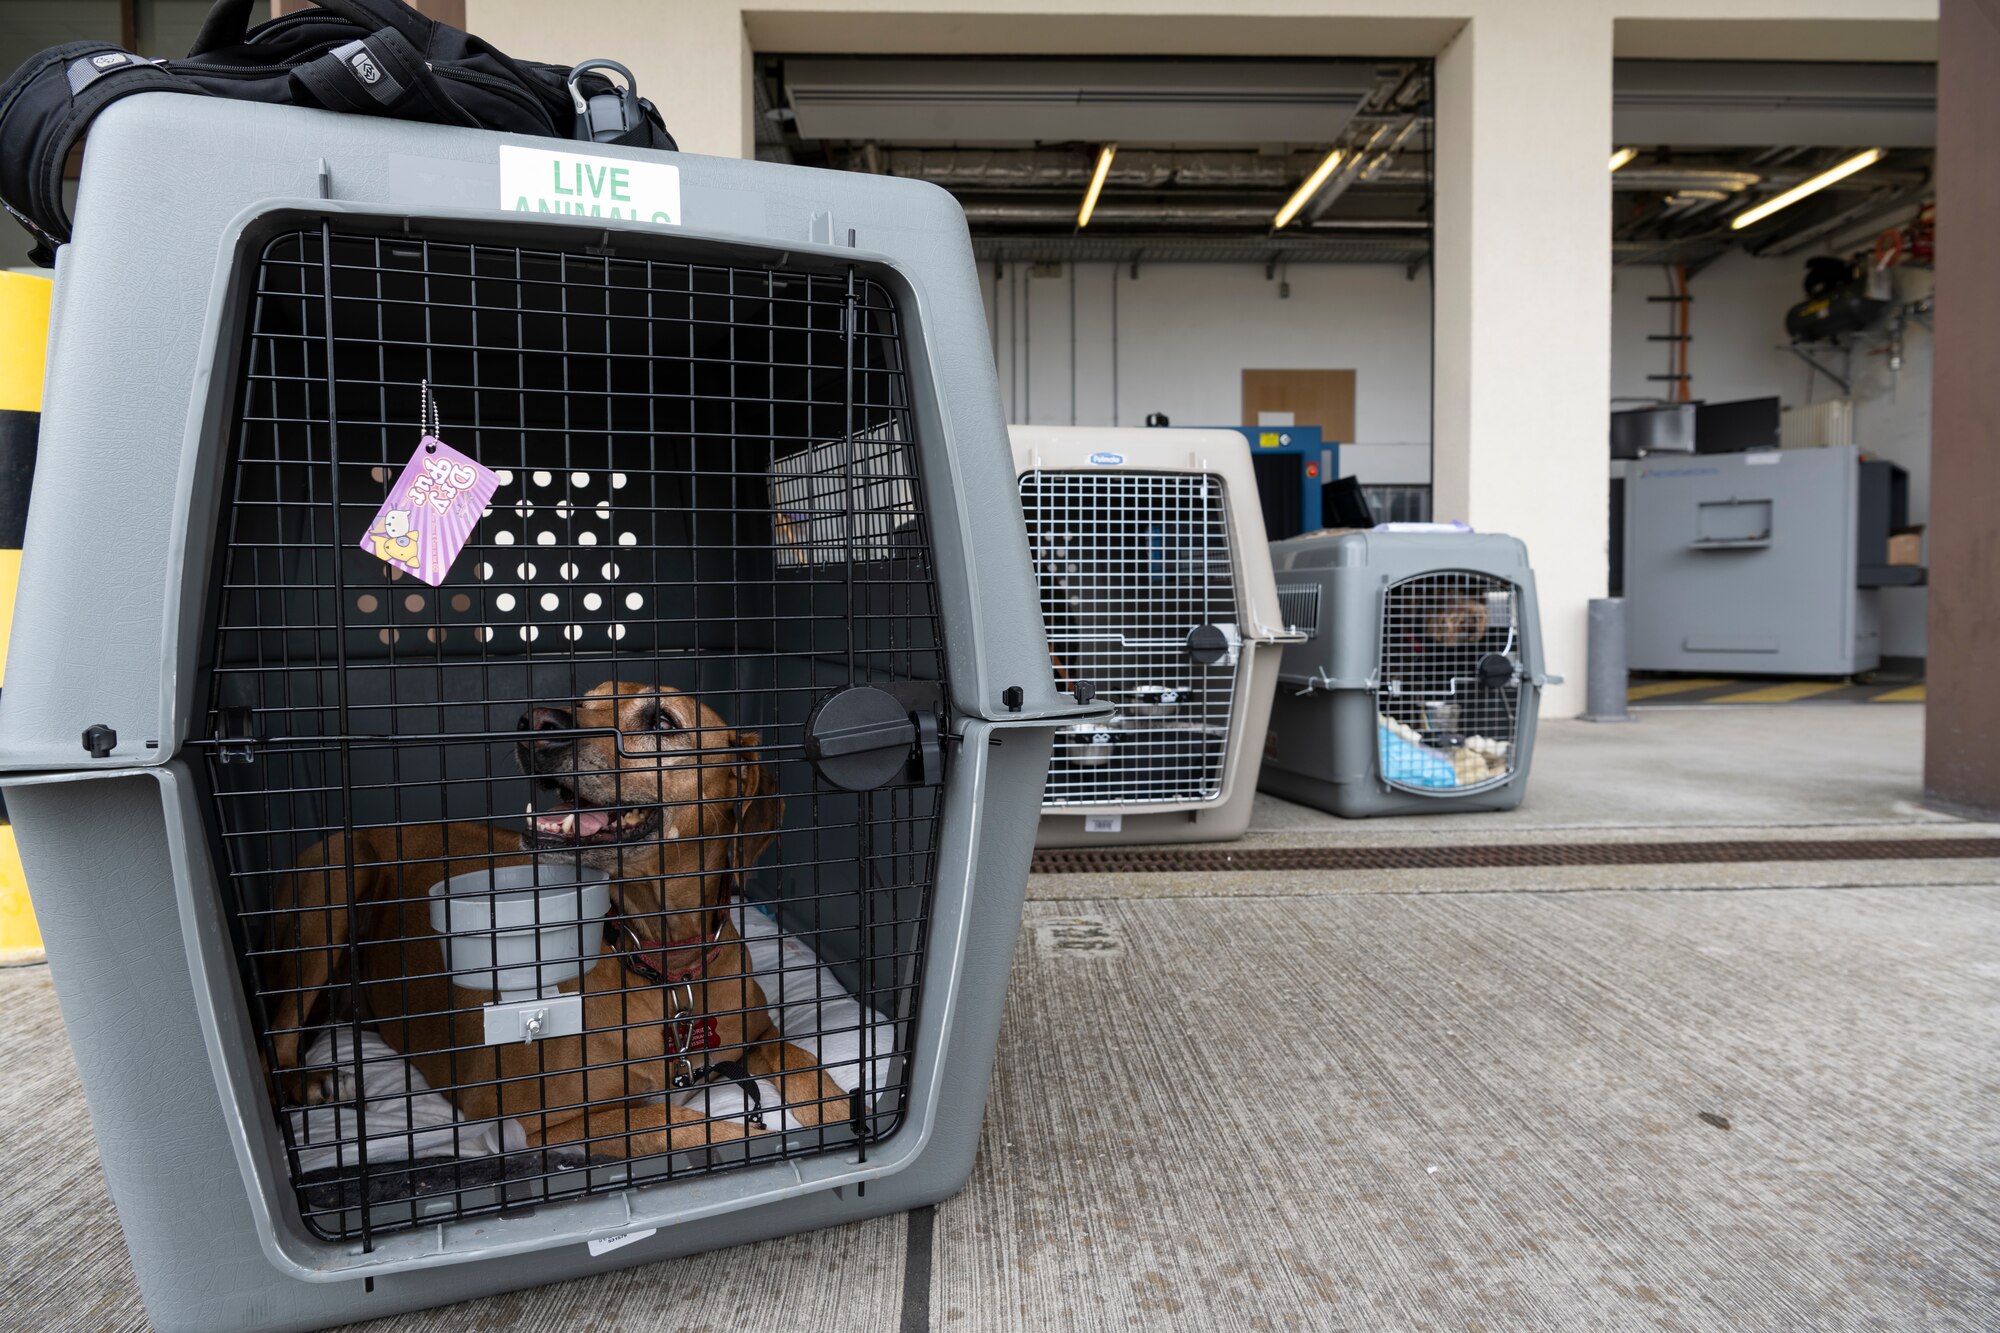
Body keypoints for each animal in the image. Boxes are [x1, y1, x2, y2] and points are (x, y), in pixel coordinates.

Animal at [262, 680, 848, 1160]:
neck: (662, 959)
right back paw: (315, 1085)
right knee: (278, 1037)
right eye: (586, 698)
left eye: (662, 722)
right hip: (337, 883)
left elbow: (805, 1060)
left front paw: (846, 1116)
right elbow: (689, 1126)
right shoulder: (551, 1123)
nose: (538, 722)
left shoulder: (760, 1034)